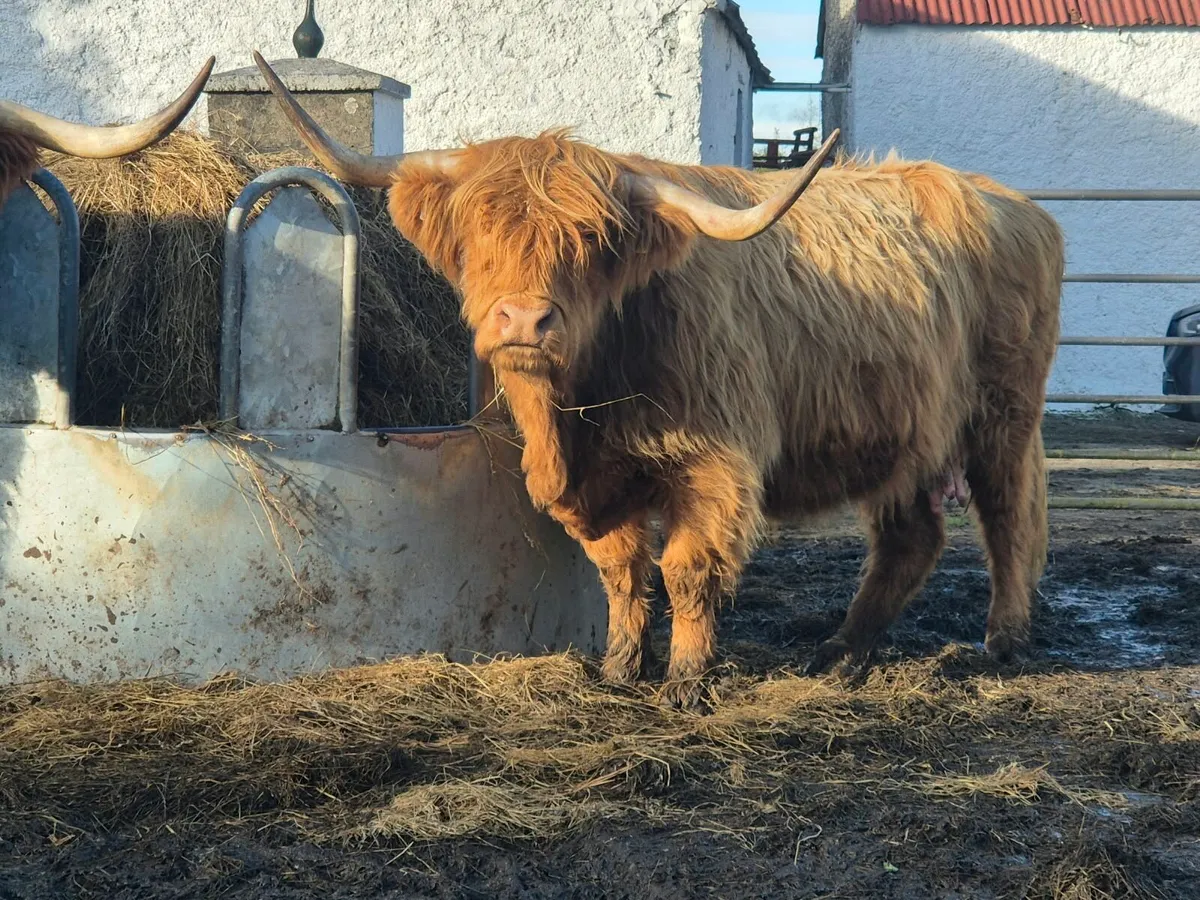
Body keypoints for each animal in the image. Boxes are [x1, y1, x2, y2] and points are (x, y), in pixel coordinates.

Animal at [254, 53, 1062, 709]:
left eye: (589, 240)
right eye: (480, 234)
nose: (523, 319)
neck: (584, 408)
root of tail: (1011, 202)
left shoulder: (716, 465)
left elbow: (686, 568)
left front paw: (686, 678)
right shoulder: (598, 484)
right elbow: (620, 567)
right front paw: (620, 667)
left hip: (1003, 413)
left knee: (1007, 514)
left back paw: (1003, 640)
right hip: (904, 432)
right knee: (912, 534)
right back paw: (842, 651)